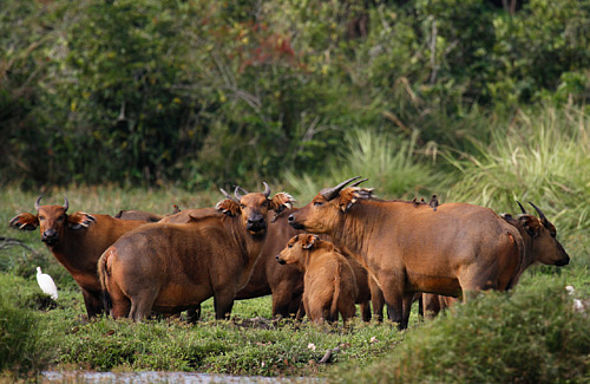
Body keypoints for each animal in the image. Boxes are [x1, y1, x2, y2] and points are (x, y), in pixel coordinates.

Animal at [99, 183, 298, 320]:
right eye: (242, 205)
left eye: (264, 203)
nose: (255, 221)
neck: (233, 237)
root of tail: (112, 251)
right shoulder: (225, 290)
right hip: (143, 297)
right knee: (137, 318)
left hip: (119, 301)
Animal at [290, 177, 552, 330]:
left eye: (318, 202)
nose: (292, 217)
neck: (375, 222)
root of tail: (506, 229)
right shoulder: (409, 289)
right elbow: (405, 320)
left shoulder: (390, 282)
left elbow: (394, 317)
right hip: (507, 288)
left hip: (475, 288)